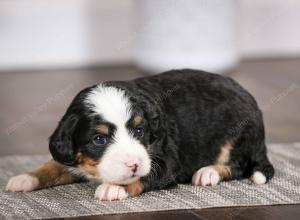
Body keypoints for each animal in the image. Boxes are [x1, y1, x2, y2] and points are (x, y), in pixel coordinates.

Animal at [6, 69, 274, 201]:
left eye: (139, 130)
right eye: (99, 139)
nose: (133, 163)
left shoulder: (166, 162)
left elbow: (142, 177)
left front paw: (114, 188)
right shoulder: (71, 153)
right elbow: (54, 164)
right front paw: (25, 178)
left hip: (237, 135)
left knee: (239, 165)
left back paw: (208, 172)